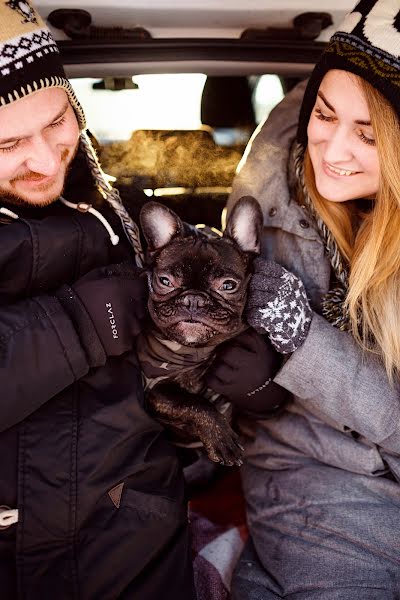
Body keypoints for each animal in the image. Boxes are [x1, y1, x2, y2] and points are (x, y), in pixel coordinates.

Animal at [136, 198, 264, 468]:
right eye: (165, 281)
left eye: (228, 285)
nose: (193, 299)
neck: (196, 350)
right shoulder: (156, 389)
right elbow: (194, 402)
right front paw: (221, 438)